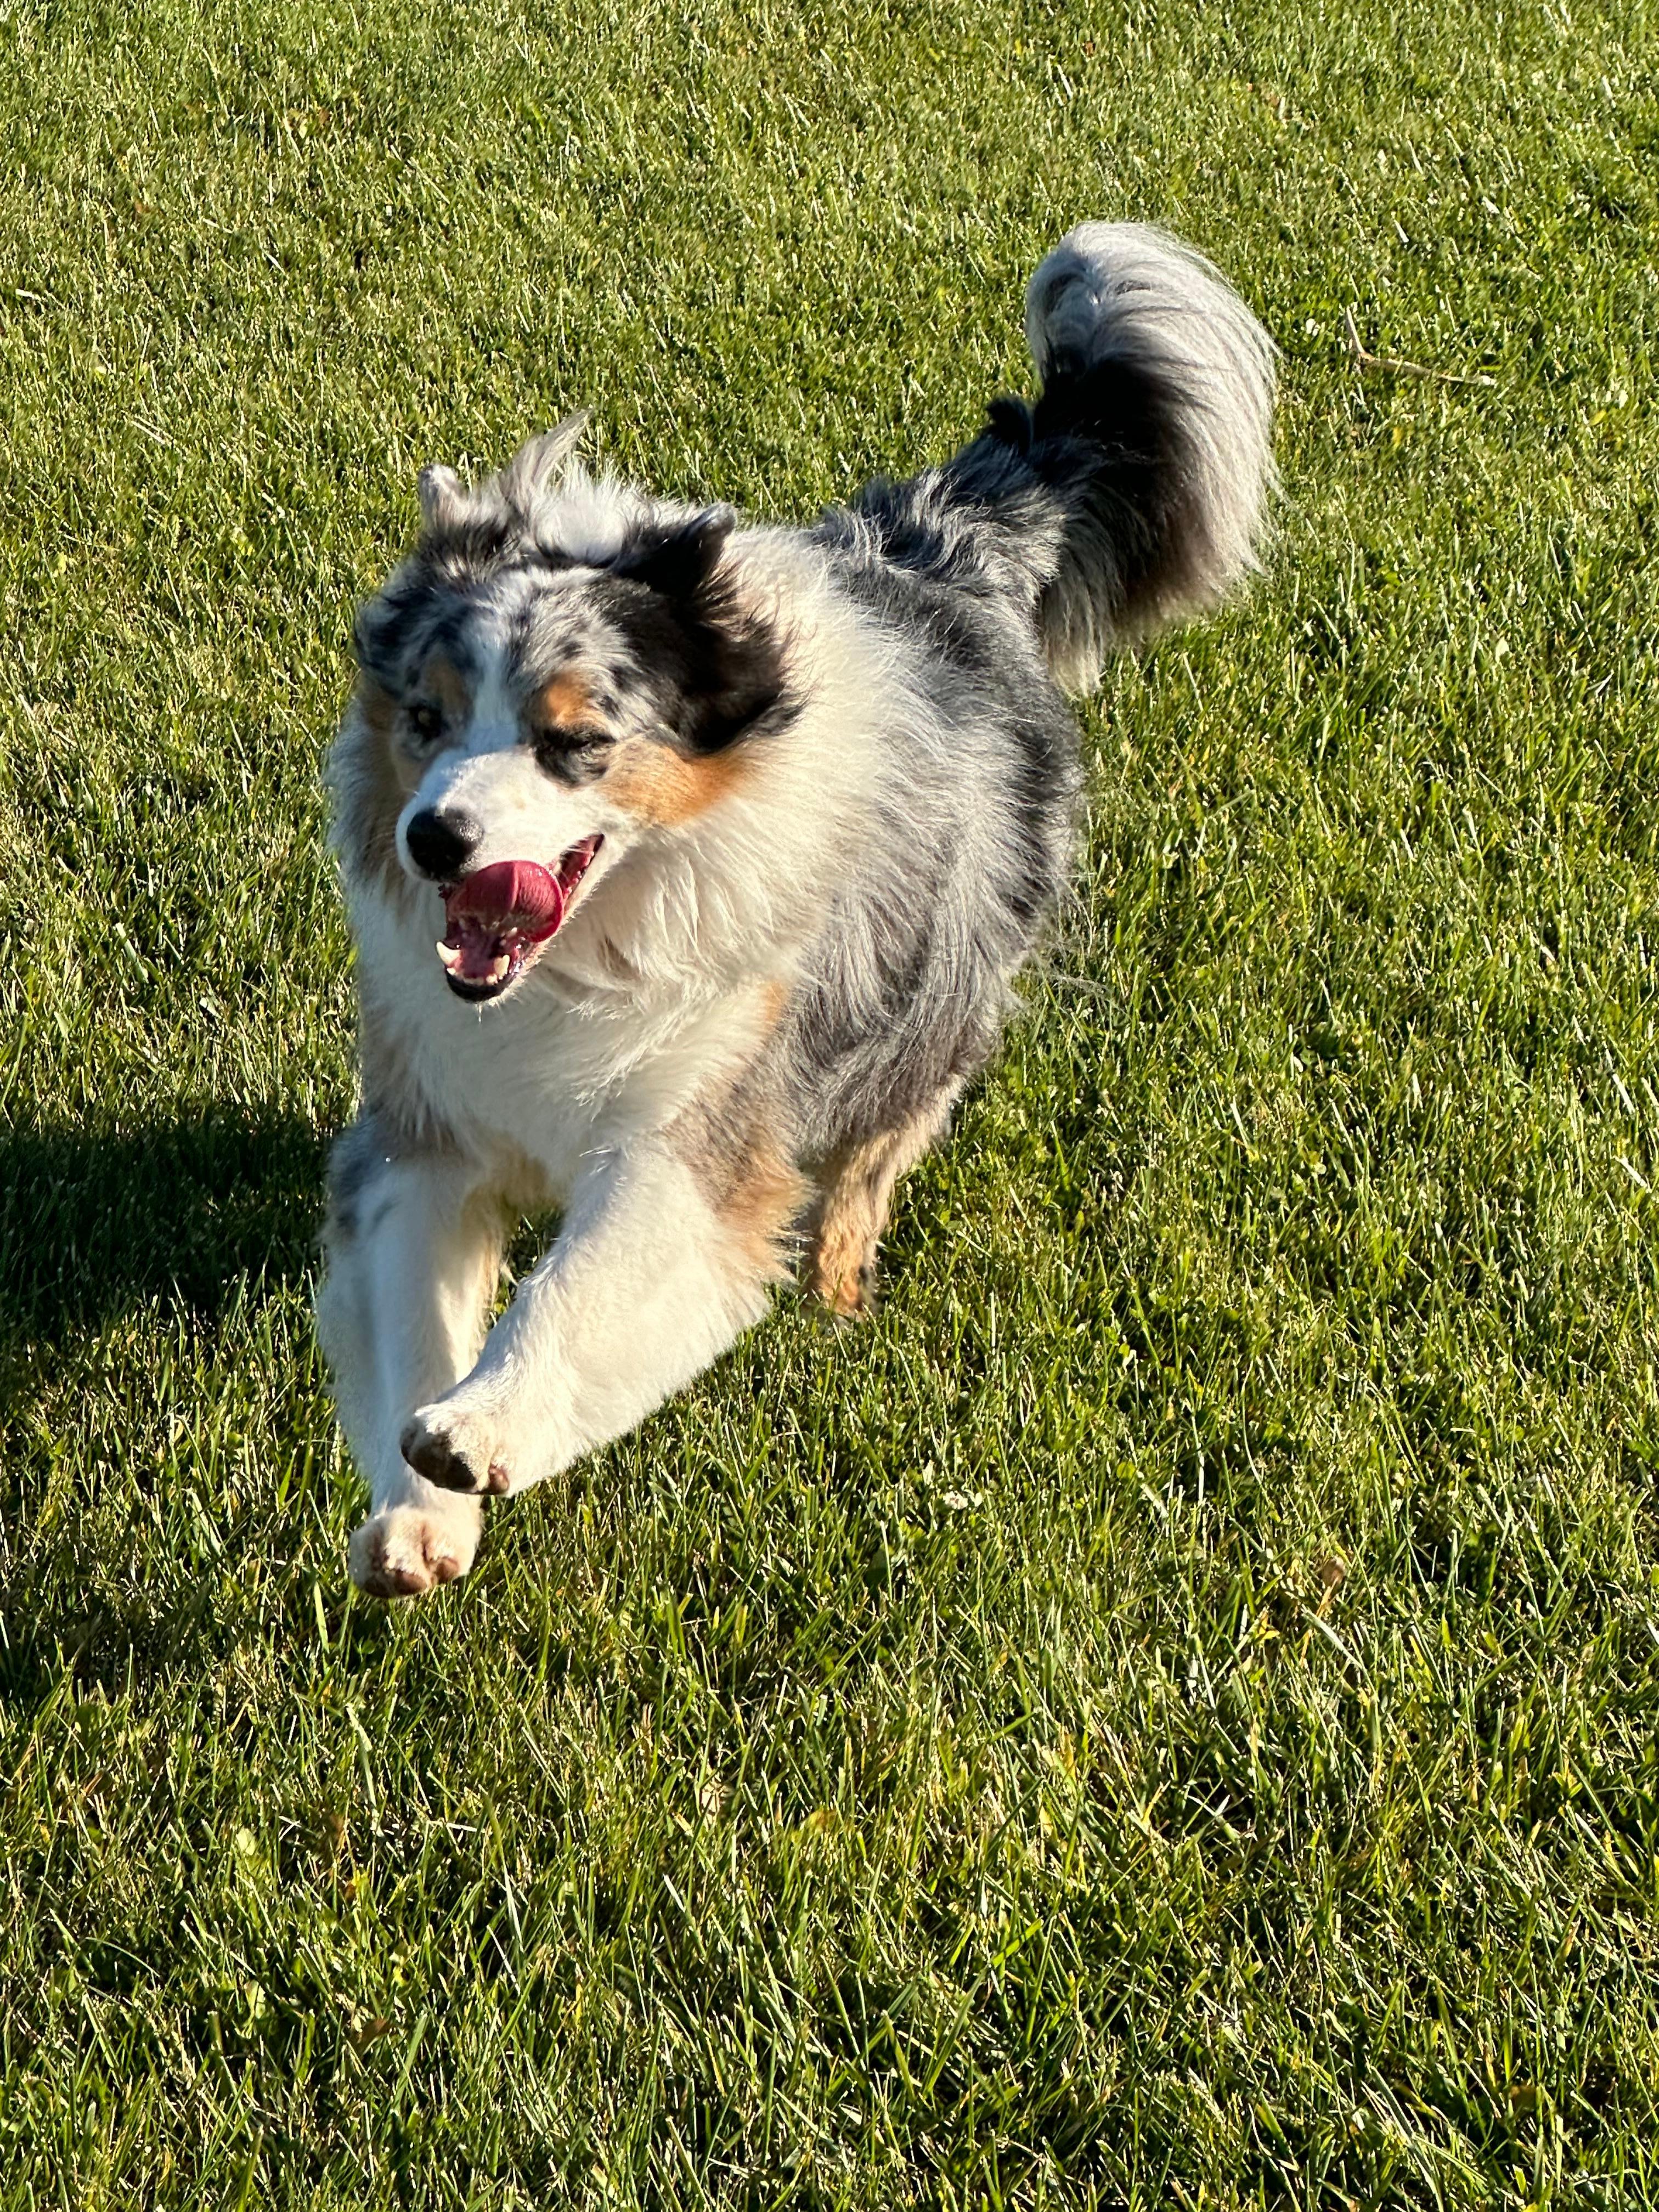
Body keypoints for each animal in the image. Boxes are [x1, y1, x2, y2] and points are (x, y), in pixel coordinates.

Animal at [320, 224, 1283, 1601]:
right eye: (424, 717)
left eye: (577, 741)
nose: (434, 838)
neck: (583, 958)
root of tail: (954, 546)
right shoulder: (426, 1125)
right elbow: (415, 1312)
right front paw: (419, 1518)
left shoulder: (703, 1123)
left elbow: (584, 1288)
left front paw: (480, 1429)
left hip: (939, 996)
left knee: (881, 1151)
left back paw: (840, 1285)